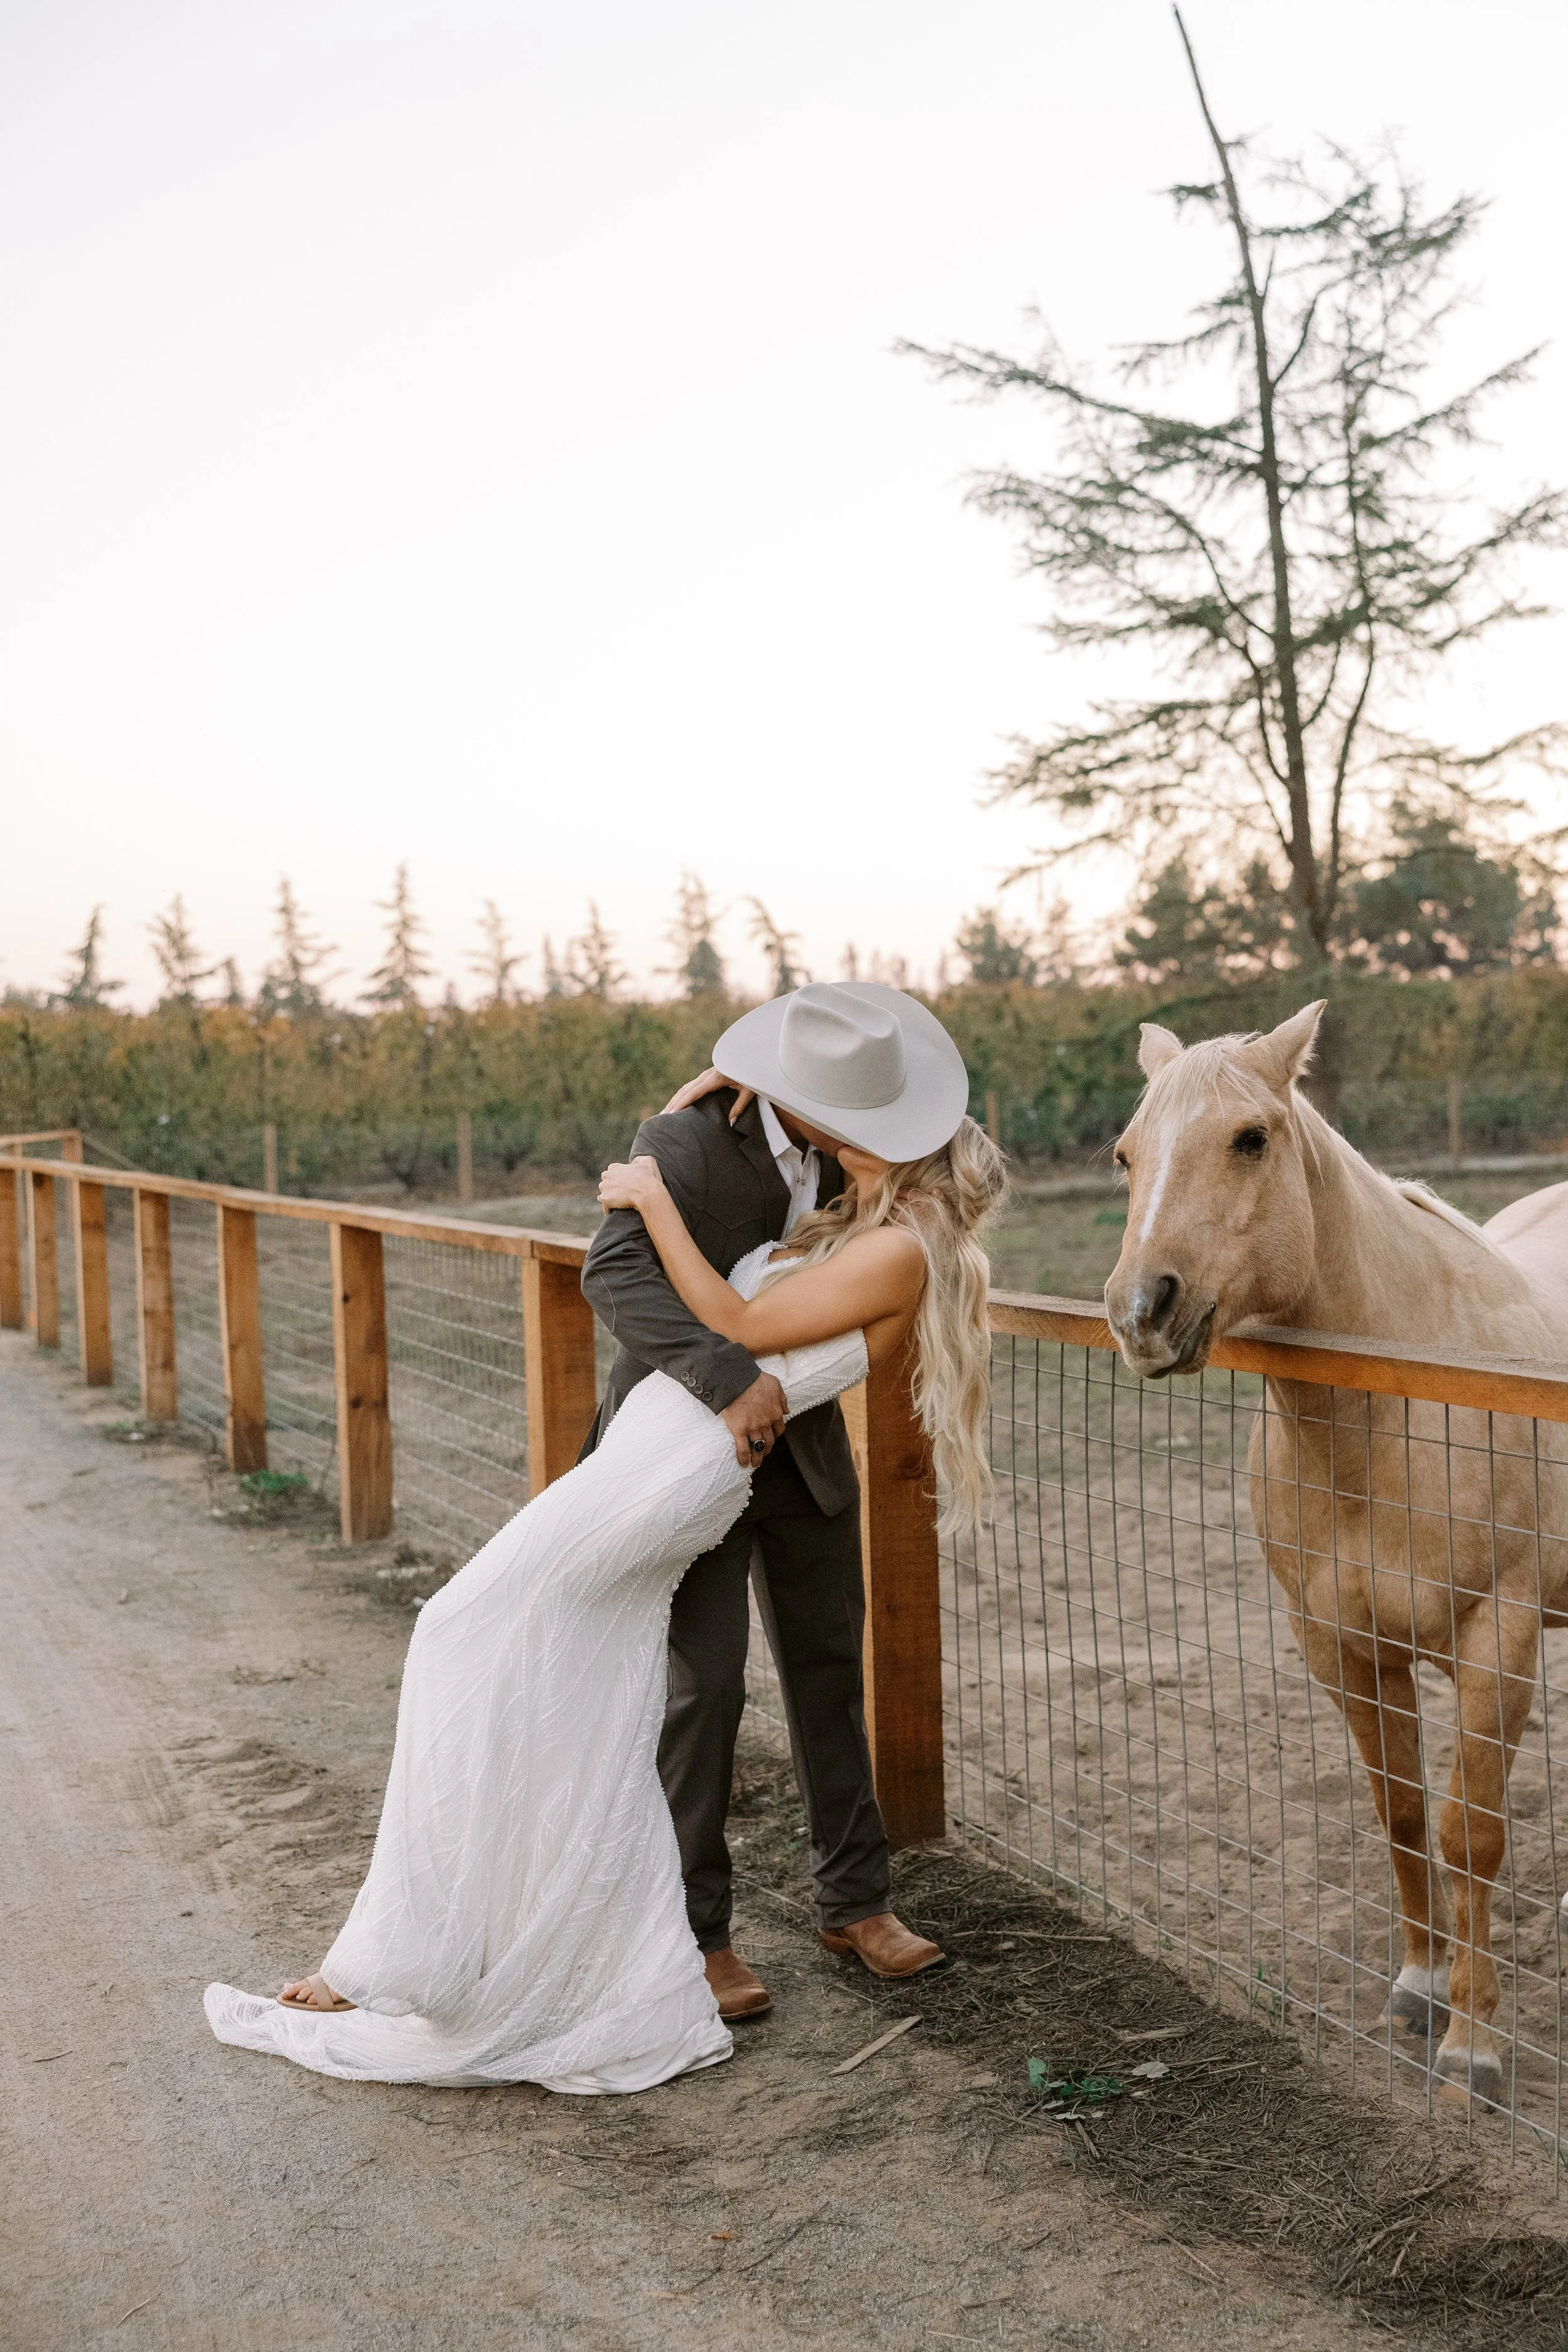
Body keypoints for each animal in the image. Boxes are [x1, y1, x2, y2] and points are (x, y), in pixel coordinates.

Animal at [1103, 1002, 1568, 2103]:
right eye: (1126, 1154)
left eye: (1251, 1139)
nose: (1141, 1311)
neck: (1399, 1408)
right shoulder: (1341, 1644)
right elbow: (1401, 1810)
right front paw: (1419, 1987)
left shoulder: (1499, 1637)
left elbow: (1472, 1831)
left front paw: (1475, 2045)